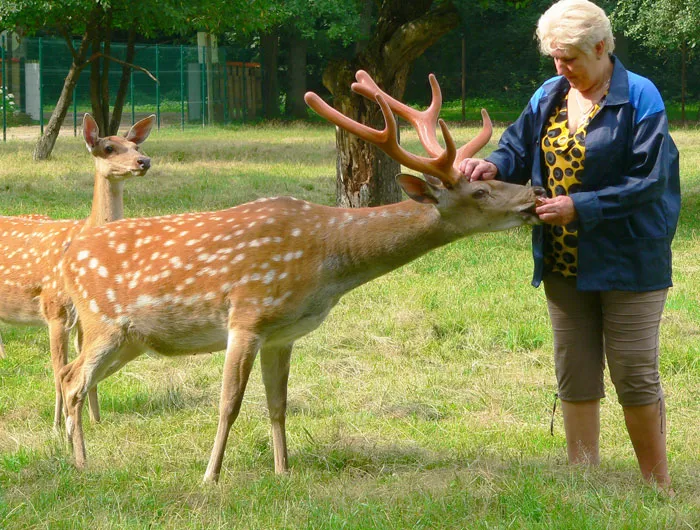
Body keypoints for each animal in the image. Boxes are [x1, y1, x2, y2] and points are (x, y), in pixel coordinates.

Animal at [0, 113, 154, 426]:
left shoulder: (86, 316)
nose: (144, 161)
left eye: (136, 145)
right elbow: (58, 368)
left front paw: (95, 419)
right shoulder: (55, 308)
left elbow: (88, 367)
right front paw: (57, 424)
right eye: (108, 148)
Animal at [57, 70, 544, 478]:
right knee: (73, 379)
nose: (534, 194)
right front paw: (210, 476)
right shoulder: (247, 315)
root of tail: (70, 255)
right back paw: (81, 462)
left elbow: (278, 404)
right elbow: (229, 404)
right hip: (102, 322)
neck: (326, 261)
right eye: (480, 191)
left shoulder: (282, 333)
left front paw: (283, 470)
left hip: (131, 339)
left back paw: (68, 451)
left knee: (71, 376)